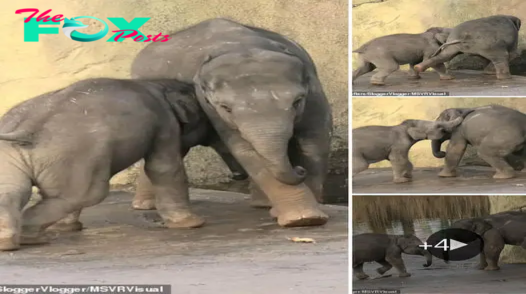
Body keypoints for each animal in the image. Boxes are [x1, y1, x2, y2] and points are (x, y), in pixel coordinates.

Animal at [0, 76, 241, 250]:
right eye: (209, 120)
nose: (237, 175)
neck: (159, 84)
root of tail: (28, 128)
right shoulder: (164, 123)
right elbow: (163, 167)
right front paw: (192, 224)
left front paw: (67, 227)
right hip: (69, 157)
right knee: (79, 195)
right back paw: (31, 239)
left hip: (10, 157)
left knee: (12, 193)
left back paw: (11, 243)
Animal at [129, 18, 334, 227]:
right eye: (226, 108)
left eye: (297, 101)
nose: (299, 170)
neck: (245, 46)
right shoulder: (212, 108)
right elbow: (246, 151)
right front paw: (302, 219)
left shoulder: (314, 93)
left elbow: (316, 140)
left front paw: (308, 216)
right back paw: (144, 206)